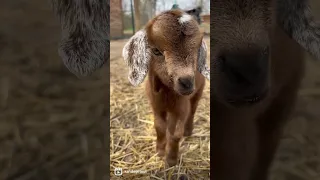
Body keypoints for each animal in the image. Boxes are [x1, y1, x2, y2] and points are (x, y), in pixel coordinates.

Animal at [122, 9, 210, 166]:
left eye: (196, 51)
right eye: (156, 51)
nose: (187, 82)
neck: (167, 95)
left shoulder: (182, 107)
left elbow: (176, 134)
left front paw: (171, 160)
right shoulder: (156, 106)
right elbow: (159, 127)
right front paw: (160, 151)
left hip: (198, 92)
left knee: (192, 111)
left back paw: (188, 131)